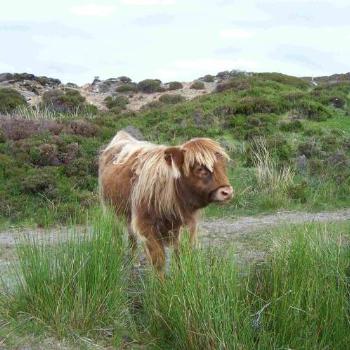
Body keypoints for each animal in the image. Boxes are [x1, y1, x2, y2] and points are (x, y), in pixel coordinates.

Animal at [98, 131, 232, 276]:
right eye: (200, 169)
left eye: (223, 166)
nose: (227, 192)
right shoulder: (146, 225)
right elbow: (158, 260)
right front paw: (161, 282)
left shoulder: (187, 225)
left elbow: (181, 255)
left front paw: (181, 276)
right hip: (110, 210)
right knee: (117, 234)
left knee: (131, 235)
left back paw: (134, 261)